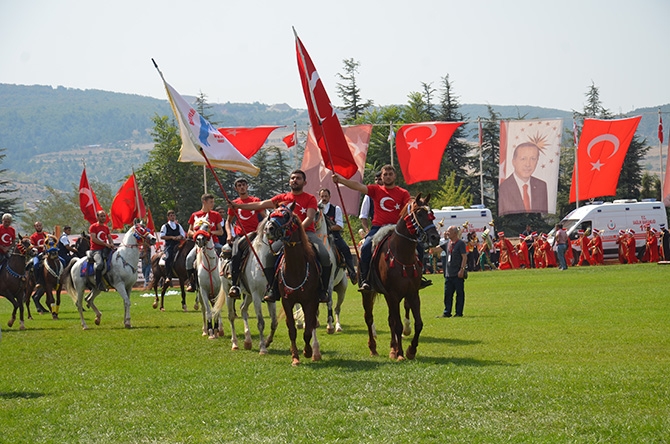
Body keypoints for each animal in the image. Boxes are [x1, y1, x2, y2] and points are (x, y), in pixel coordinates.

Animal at [215, 215, 278, 354]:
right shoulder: (256, 295)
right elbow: (261, 322)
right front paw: (263, 348)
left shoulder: (269, 297)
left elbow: (274, 322)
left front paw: (268, 341)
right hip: (229, 292)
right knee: (231, 316)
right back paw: (235, 344)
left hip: (248, 295)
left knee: (243, 309)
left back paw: (248, 341)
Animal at [266, 203, 322, 366]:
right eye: (271, 214)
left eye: (285, 215)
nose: (268, 229)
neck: (296, 269)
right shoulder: (287, 301)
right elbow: (291, 329)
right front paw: (295, 357)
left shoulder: (310, 302)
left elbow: (308, 329)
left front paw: (308, 351)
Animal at [364, 194, 444, 360]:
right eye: (419, 213)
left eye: (431, 213)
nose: (435, 237)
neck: (402, 254)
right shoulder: (393, 295)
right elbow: (398, 325)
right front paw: (401, 353)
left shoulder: (412, 293)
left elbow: (418, 323)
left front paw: (410, 350)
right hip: (368, 293)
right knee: (369, 318)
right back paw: (374, 348)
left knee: (390, 320)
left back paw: (392, 348)